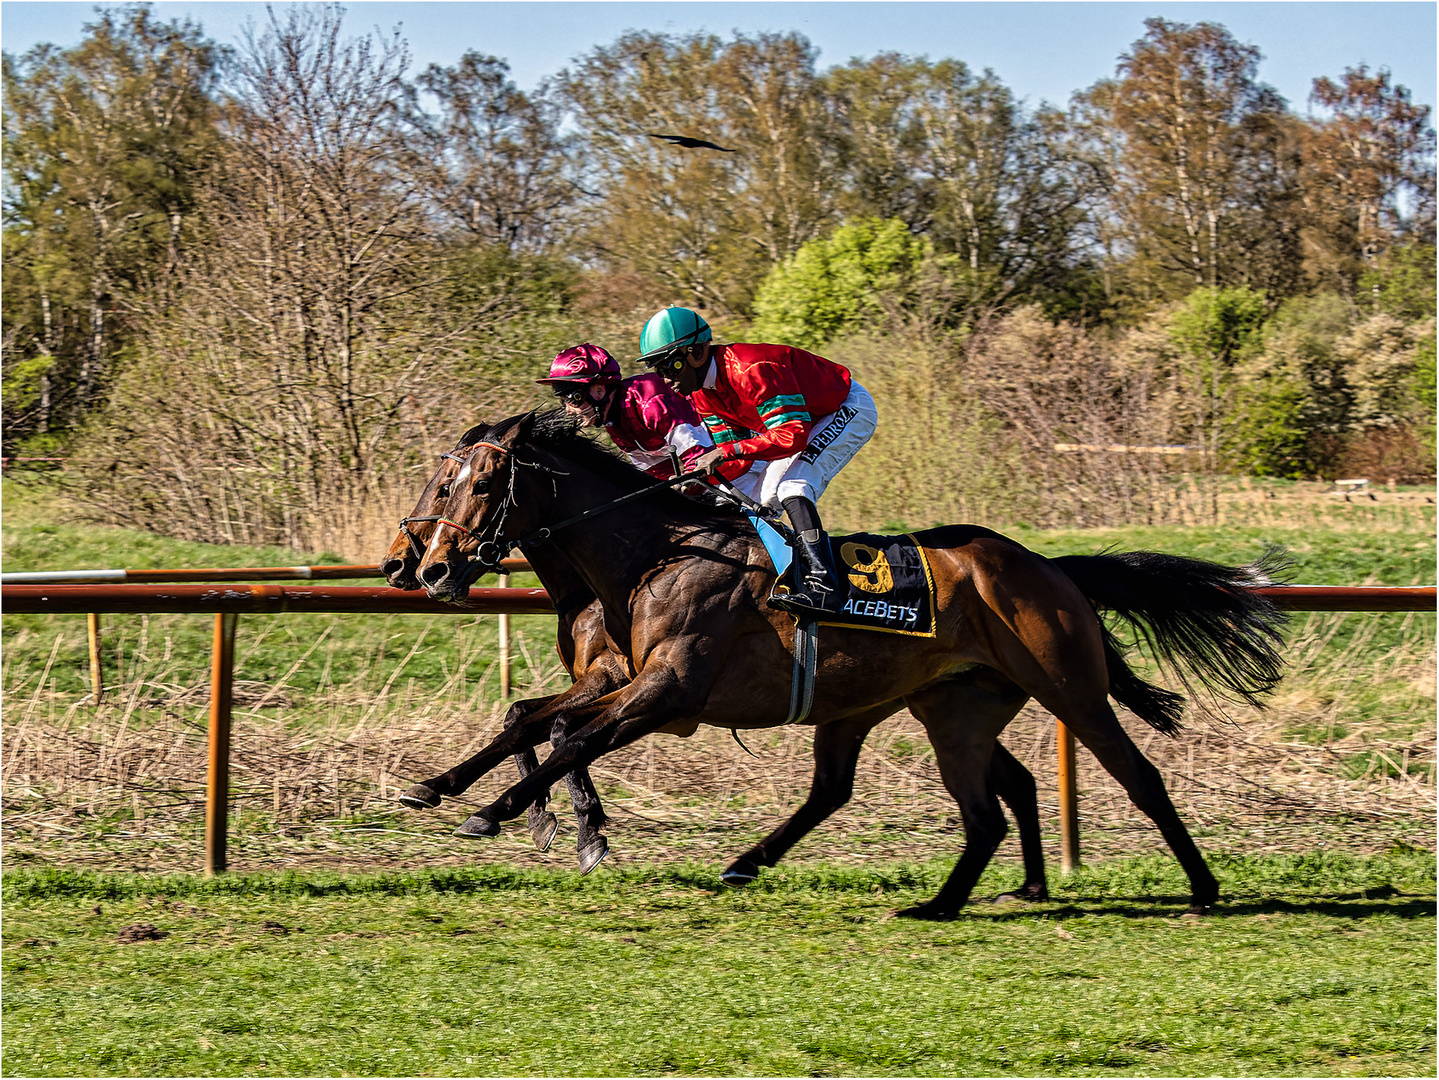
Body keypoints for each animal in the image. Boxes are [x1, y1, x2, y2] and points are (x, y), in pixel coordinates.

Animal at [411, 408, 1289, 914]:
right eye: (440, 479)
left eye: (478, 482)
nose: (427, 567)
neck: (657, 553)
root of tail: (1045, 565)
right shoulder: (622, 680)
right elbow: (531, 719)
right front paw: (446, 788)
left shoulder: (666, 693)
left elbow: (573, 738)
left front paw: (508, 812)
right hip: (936, 704)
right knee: (933, 796)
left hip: (1067, 686)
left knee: (1135, 775)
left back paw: (1202, 888)